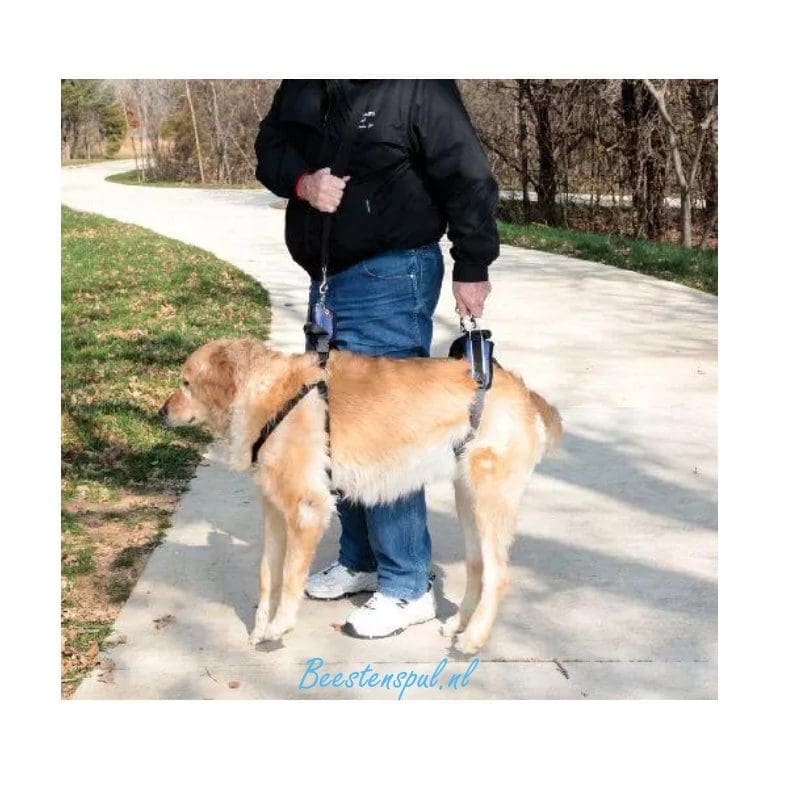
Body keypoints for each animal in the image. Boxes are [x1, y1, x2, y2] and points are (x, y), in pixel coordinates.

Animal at [159, 338, 561, 654]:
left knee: (499, 574)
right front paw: (260, 627)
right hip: (468, 500)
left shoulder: (307, 511)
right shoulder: (273, 513)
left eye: (186, 383)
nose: (160, 413)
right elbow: (266, 577)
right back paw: (460, 624)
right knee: (478, 566)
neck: (269, 397)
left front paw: (279, 626)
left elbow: (288, 578)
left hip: (489, 501)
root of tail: (523, 391)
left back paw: (474, 637)